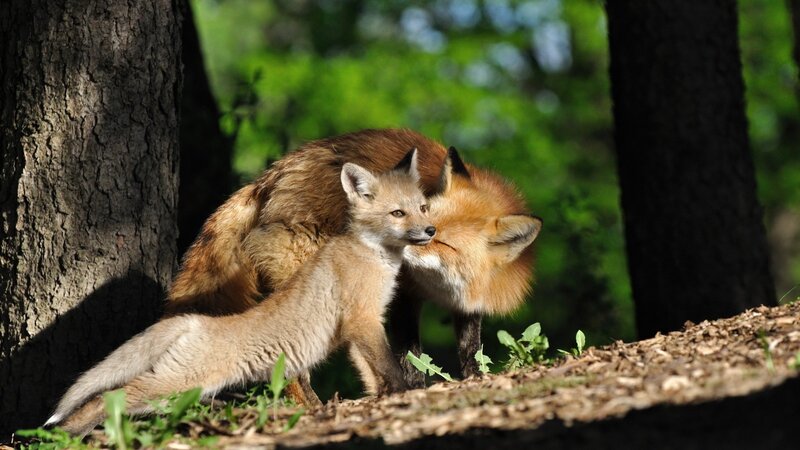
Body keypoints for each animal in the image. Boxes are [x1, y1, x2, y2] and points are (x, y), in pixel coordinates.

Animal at [45, 150, 433, 436]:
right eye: (397, 213)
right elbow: (389, 367)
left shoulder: (355, 329)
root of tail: (194, 321)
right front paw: (406, 394)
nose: (430, 230)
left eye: (423, 207)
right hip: (179, 381)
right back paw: (63, 434)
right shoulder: (362, 318)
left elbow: (371, 373)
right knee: (106, 397)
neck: (371, 255)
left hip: (183, 388)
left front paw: (378, 399)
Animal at [167, 129, 542, 404]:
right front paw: (415, 390)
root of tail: (272, 174)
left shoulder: (468, 304)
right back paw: (311, 409)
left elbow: (470, 349)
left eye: (444, 241)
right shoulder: (404, 296)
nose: (402, 244)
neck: (443, 287)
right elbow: (410, 356)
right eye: (419, 217)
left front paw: (475, 379)